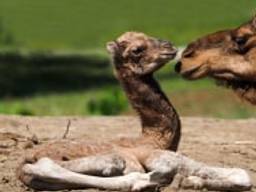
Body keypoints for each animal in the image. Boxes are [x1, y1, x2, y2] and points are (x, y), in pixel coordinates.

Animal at [18, 32, 252, 191]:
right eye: (137, 49)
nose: (169, 46)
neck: (152, 139)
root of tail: (23, 163)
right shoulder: (161, 156)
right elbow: (242, 173)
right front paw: (189, 180)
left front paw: (191, 181)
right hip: (106, 160)